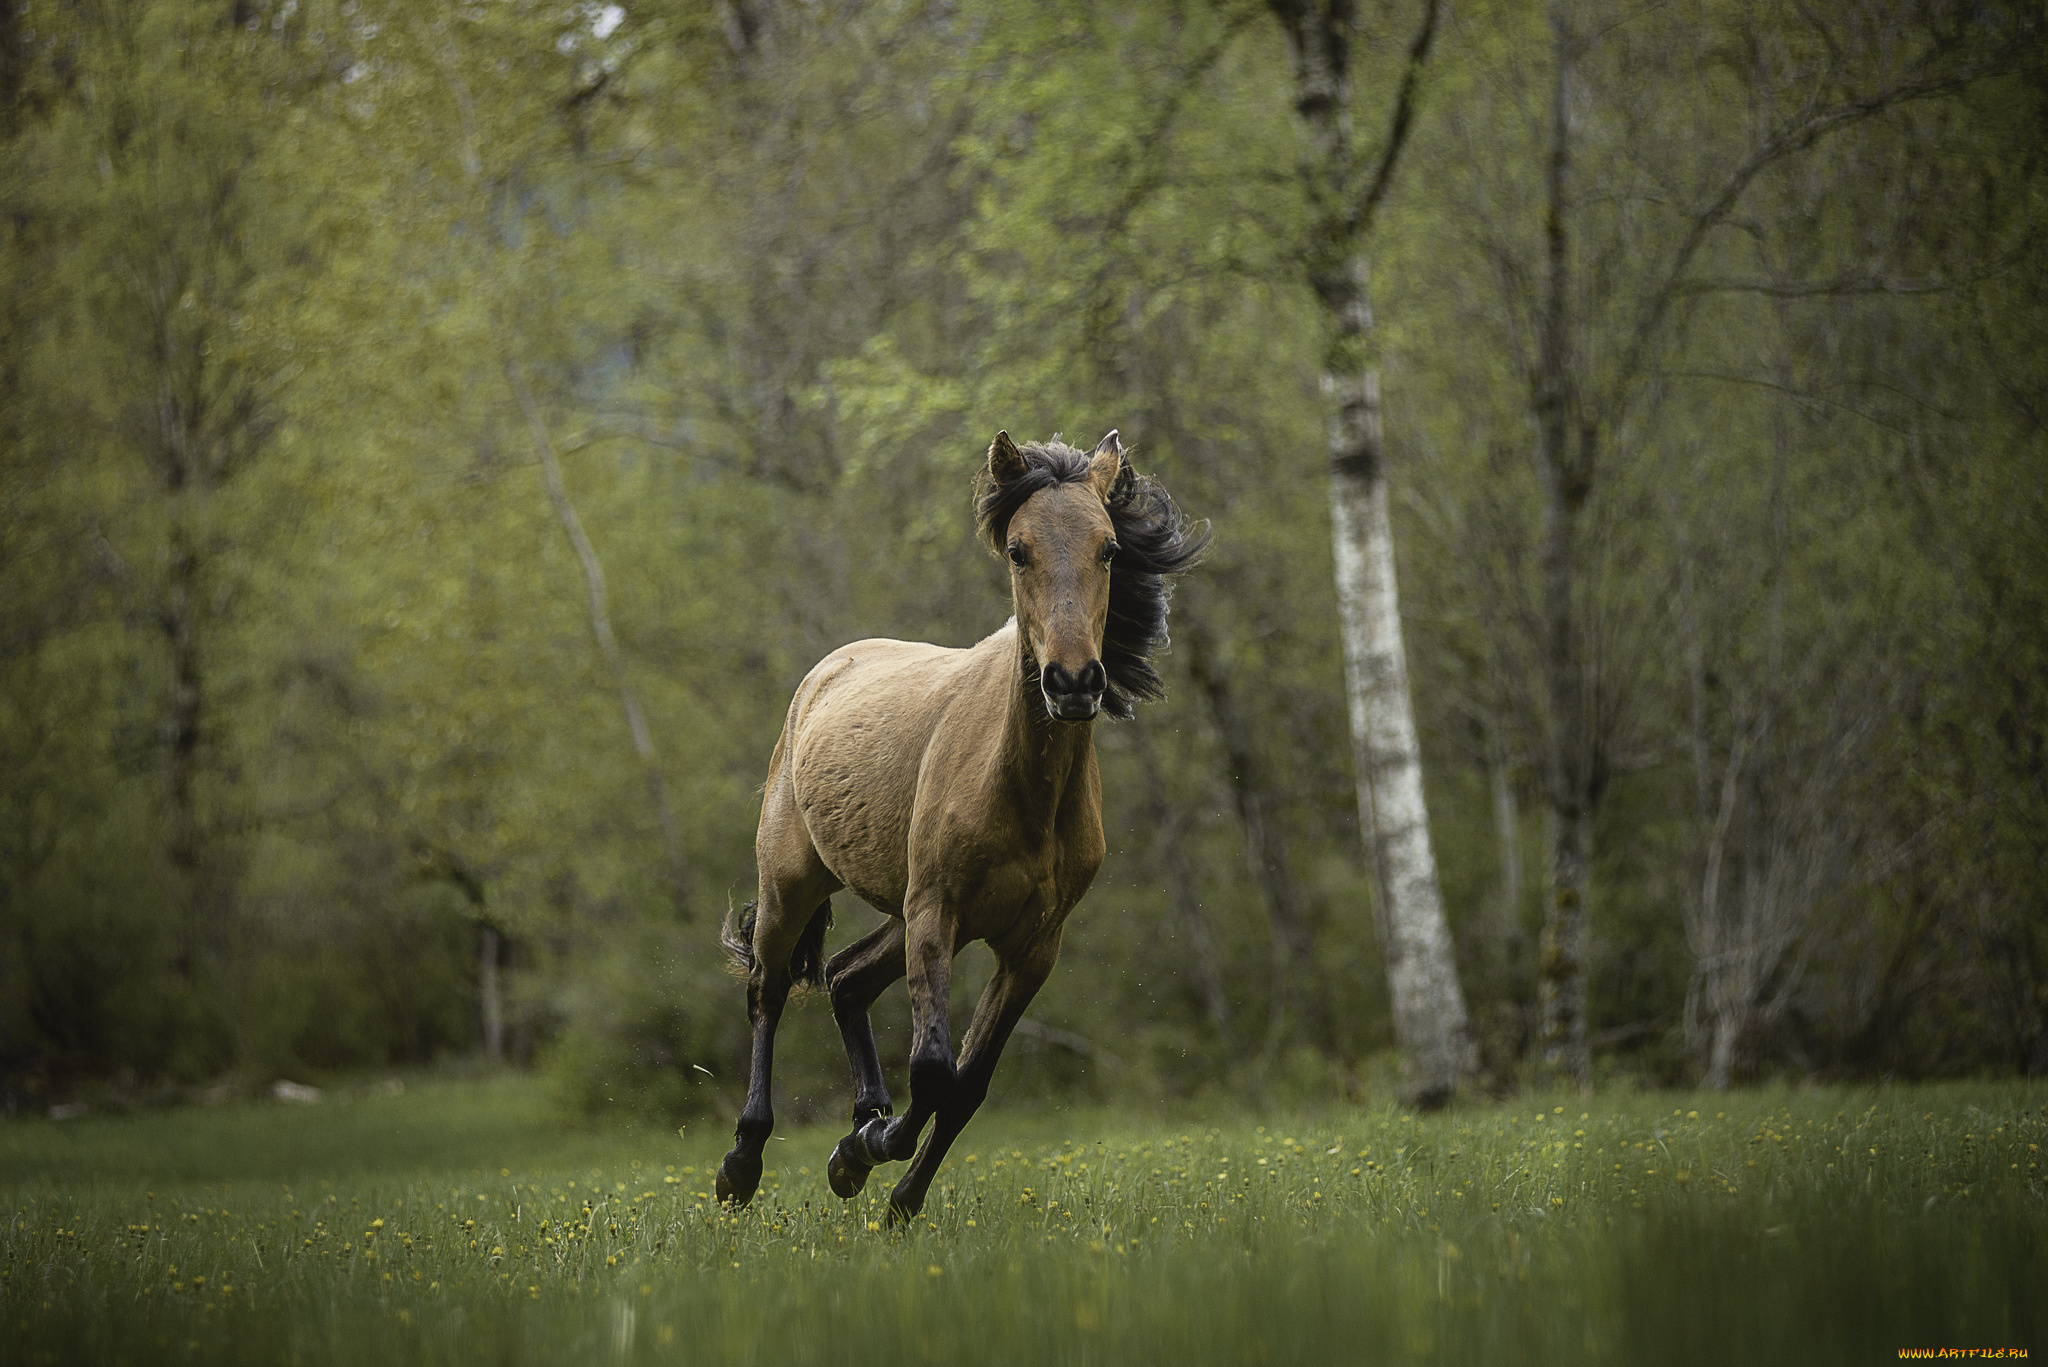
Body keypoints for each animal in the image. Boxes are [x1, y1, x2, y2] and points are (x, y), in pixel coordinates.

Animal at [716, 428, 1204, 1221]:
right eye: (1018, 550)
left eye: (1108, 548)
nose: (1074, 682)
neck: (1022, 792)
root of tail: (825, 672)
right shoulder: (936, 911)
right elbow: (935, 1068)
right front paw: (868, 1149)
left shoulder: (1032, 944)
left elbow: (968, 1085)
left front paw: (890, 1188)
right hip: (794, 882)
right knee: (768, 988)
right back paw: (743, 1163)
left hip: (910, 912)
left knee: (847, 979)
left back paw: (862, 1120)